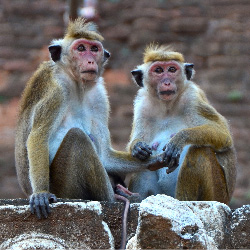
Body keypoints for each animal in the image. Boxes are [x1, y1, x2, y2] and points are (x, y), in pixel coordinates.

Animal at [14, 18, 165, 220]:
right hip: (63, 189)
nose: (90, 60)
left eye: (94, 49)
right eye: (80, 48)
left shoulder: (99, 97)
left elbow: (104, 154)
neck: (77, 84)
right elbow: (38, 136)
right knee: (77, 138)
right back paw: (114, 197)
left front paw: (154, 159)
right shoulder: (57, 92)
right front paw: (40, 194)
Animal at [127, 44, 236, 205]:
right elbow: (139, 144)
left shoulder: (192, 97)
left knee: (200, 151)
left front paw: (180, 138)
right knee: (145, 166)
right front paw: (137, 147)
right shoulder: (143, 105)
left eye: (172, 69)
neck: (167, 106)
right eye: (158, 70)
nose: (167, 82)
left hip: (218, 195)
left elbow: (223, 134)